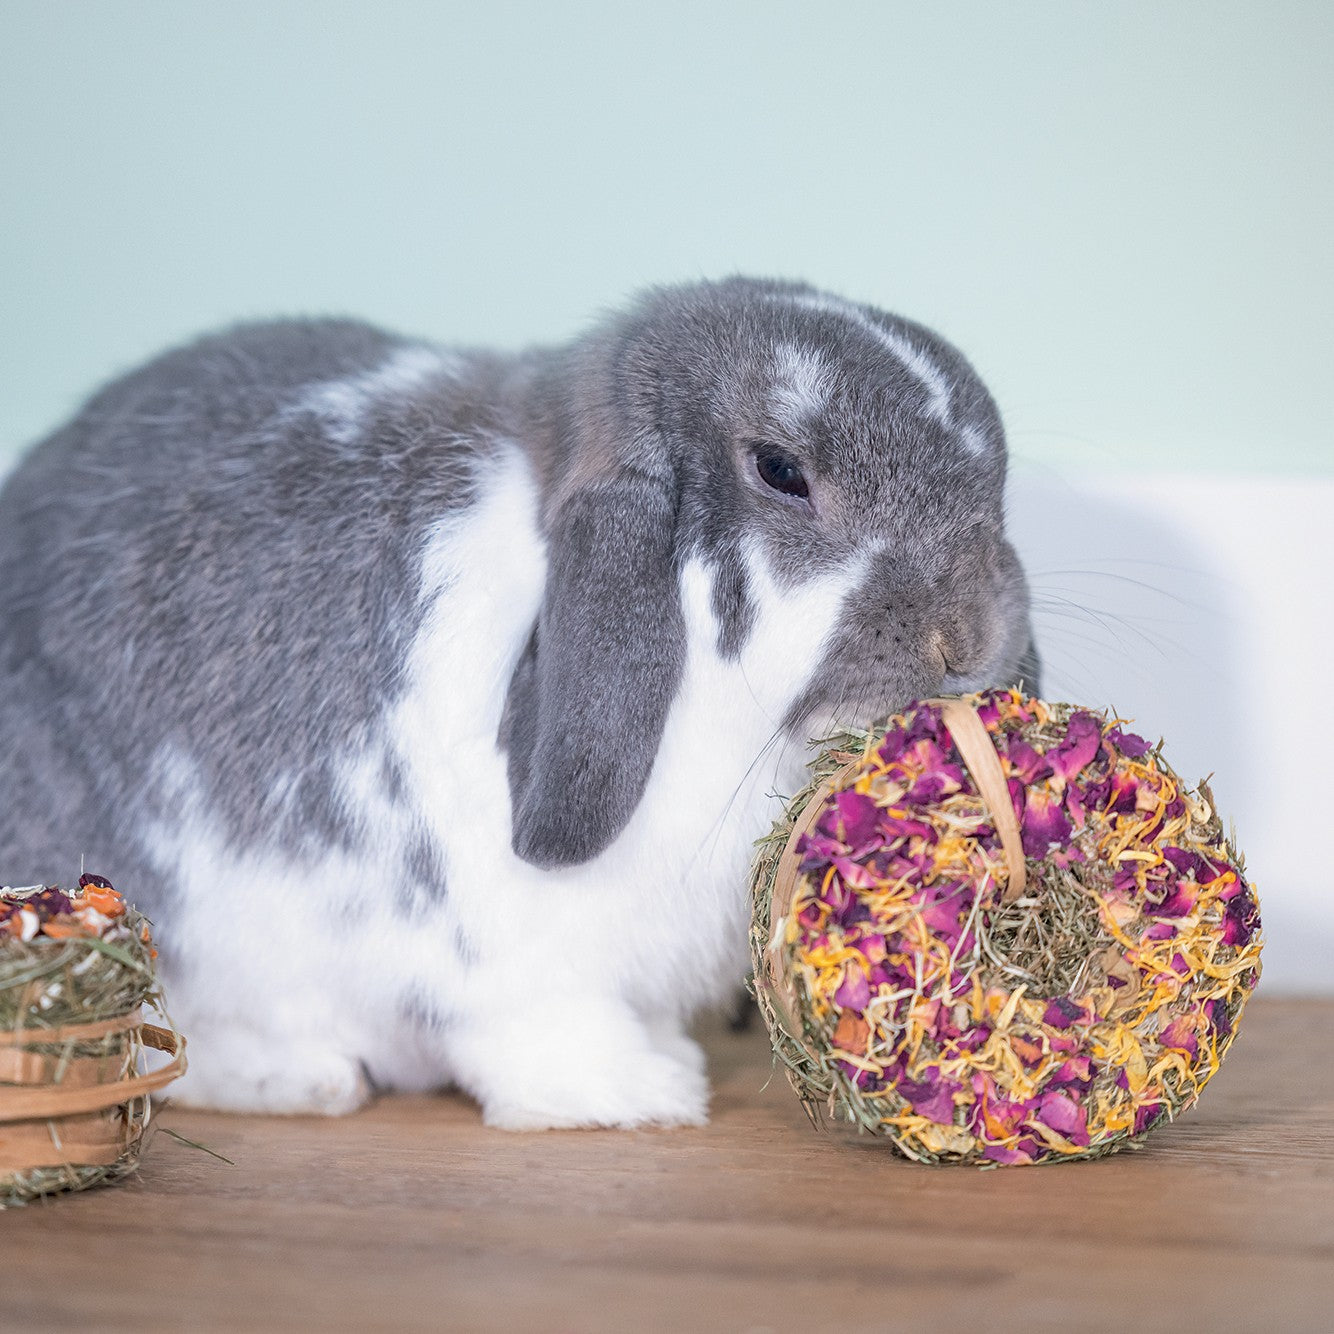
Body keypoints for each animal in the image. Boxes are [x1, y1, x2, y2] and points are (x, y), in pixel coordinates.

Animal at [0, 276, 1039, 1128]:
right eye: (781, 470)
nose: (967, 640)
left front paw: (667, 1062)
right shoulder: (499, 961)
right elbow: (532, 1031)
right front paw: (639, 1095)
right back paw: (307, 1079)